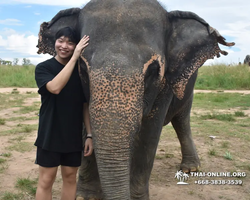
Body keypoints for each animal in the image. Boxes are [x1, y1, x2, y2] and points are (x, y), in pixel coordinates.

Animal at [36, 0, 234, 199]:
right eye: (82, 68)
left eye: (153, 71)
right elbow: (86, 125)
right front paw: (85, 197)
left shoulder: (164, 87)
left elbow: (148, 135)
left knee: (182, 121)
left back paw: (190, 169)